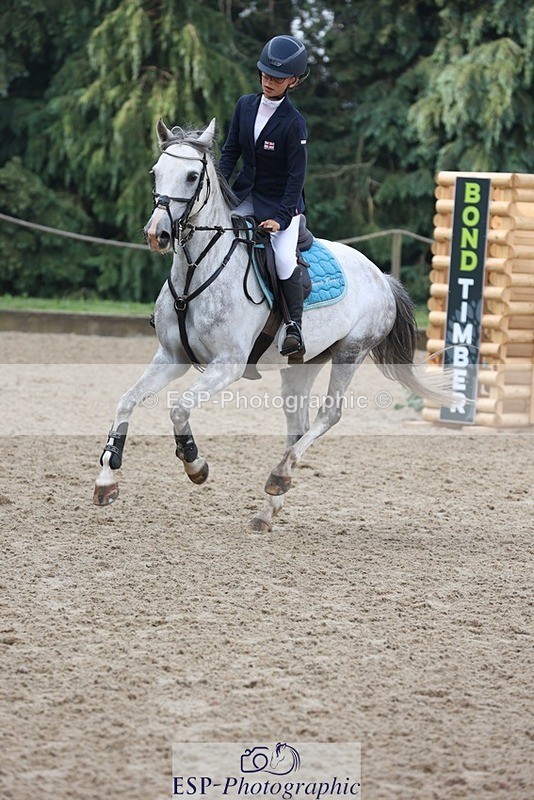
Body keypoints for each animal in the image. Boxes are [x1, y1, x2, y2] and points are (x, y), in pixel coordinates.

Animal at [93, 118, 450, 531]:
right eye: (156, 172)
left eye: (192, 176)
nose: (158, 234)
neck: (196, 269)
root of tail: (382, 276)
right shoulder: (172, 357)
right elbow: (127, 400)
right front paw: (106, 479)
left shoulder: (227, 365)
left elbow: (179, 408)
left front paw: (196, 465)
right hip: (301, 366)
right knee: (297, 428)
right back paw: (269, 506)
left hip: (351, 352)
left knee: (329, 415)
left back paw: (278, 477)